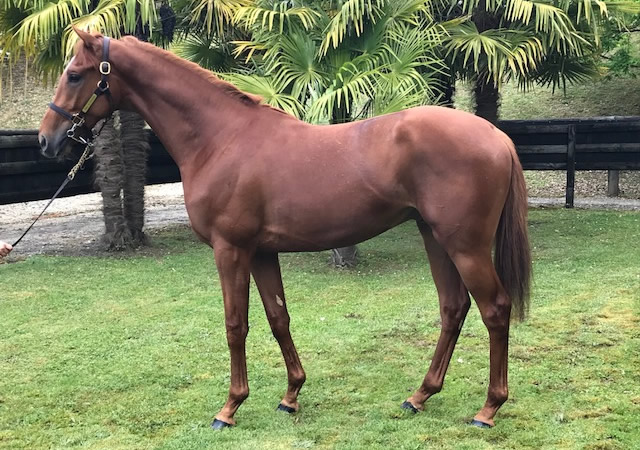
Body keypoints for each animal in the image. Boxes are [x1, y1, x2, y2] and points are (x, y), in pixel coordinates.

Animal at [38, 29, 531, 430]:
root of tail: (495, 136)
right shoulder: (260, 252)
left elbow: (235, 324)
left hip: (465, 246)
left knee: (494, 309)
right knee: (453, 308)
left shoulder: (230, 249)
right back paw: (420, 396)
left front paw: (230, 408)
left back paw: (488, 408)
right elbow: (278, 318)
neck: (222, 139)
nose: (47, 139)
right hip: (435, 238)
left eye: (76, 75)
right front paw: (291, 395)